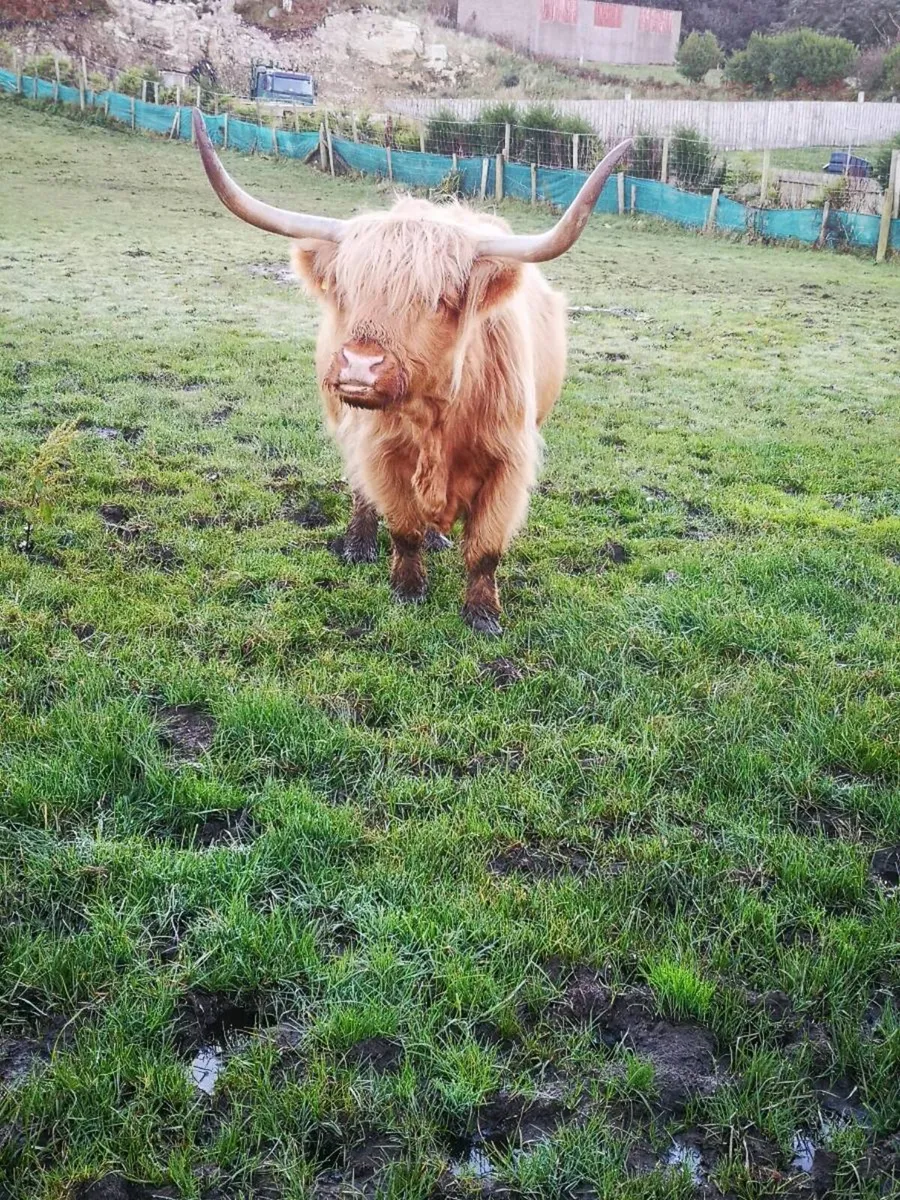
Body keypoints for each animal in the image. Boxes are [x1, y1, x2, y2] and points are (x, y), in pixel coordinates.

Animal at [192, 111, 631, 634]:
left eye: (438, 300)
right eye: (346, 291)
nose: (360, 366)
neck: (438, 416)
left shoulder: (510, 463)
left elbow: (485, 549)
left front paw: (483, 615)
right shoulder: (380, 450)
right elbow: (402, 527)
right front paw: (407, 590)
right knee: (361, 490)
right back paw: (359, 544)